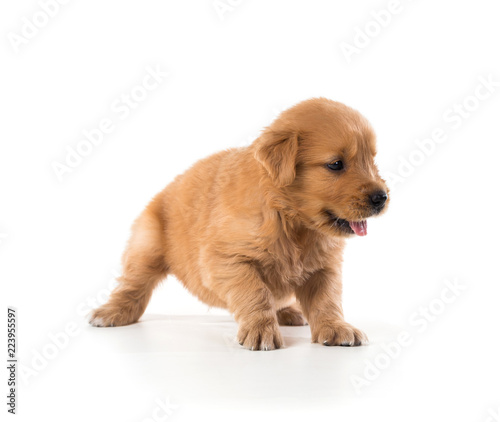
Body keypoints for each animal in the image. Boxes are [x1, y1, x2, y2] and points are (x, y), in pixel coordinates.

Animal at [90, 98, 388, 350]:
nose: (381, 197)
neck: (290, 220)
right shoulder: (227, 259)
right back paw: (112, 312)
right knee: (133, 285)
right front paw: (261, 330)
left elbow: (327, 300)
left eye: (372, 160)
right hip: (147, 243)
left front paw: (336, 328)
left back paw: (289, 311)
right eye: (336, 164)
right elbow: (255, 292)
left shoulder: (324, 267)